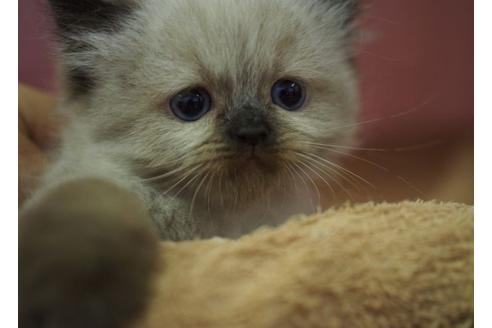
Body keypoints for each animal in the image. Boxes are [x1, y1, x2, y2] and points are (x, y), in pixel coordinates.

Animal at [19, 0, 358, 326]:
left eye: (288, 94)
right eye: (191, 104)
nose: (251, 132)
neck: (219, 220)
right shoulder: (99, 188)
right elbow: (92, 222)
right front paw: (75, 301)